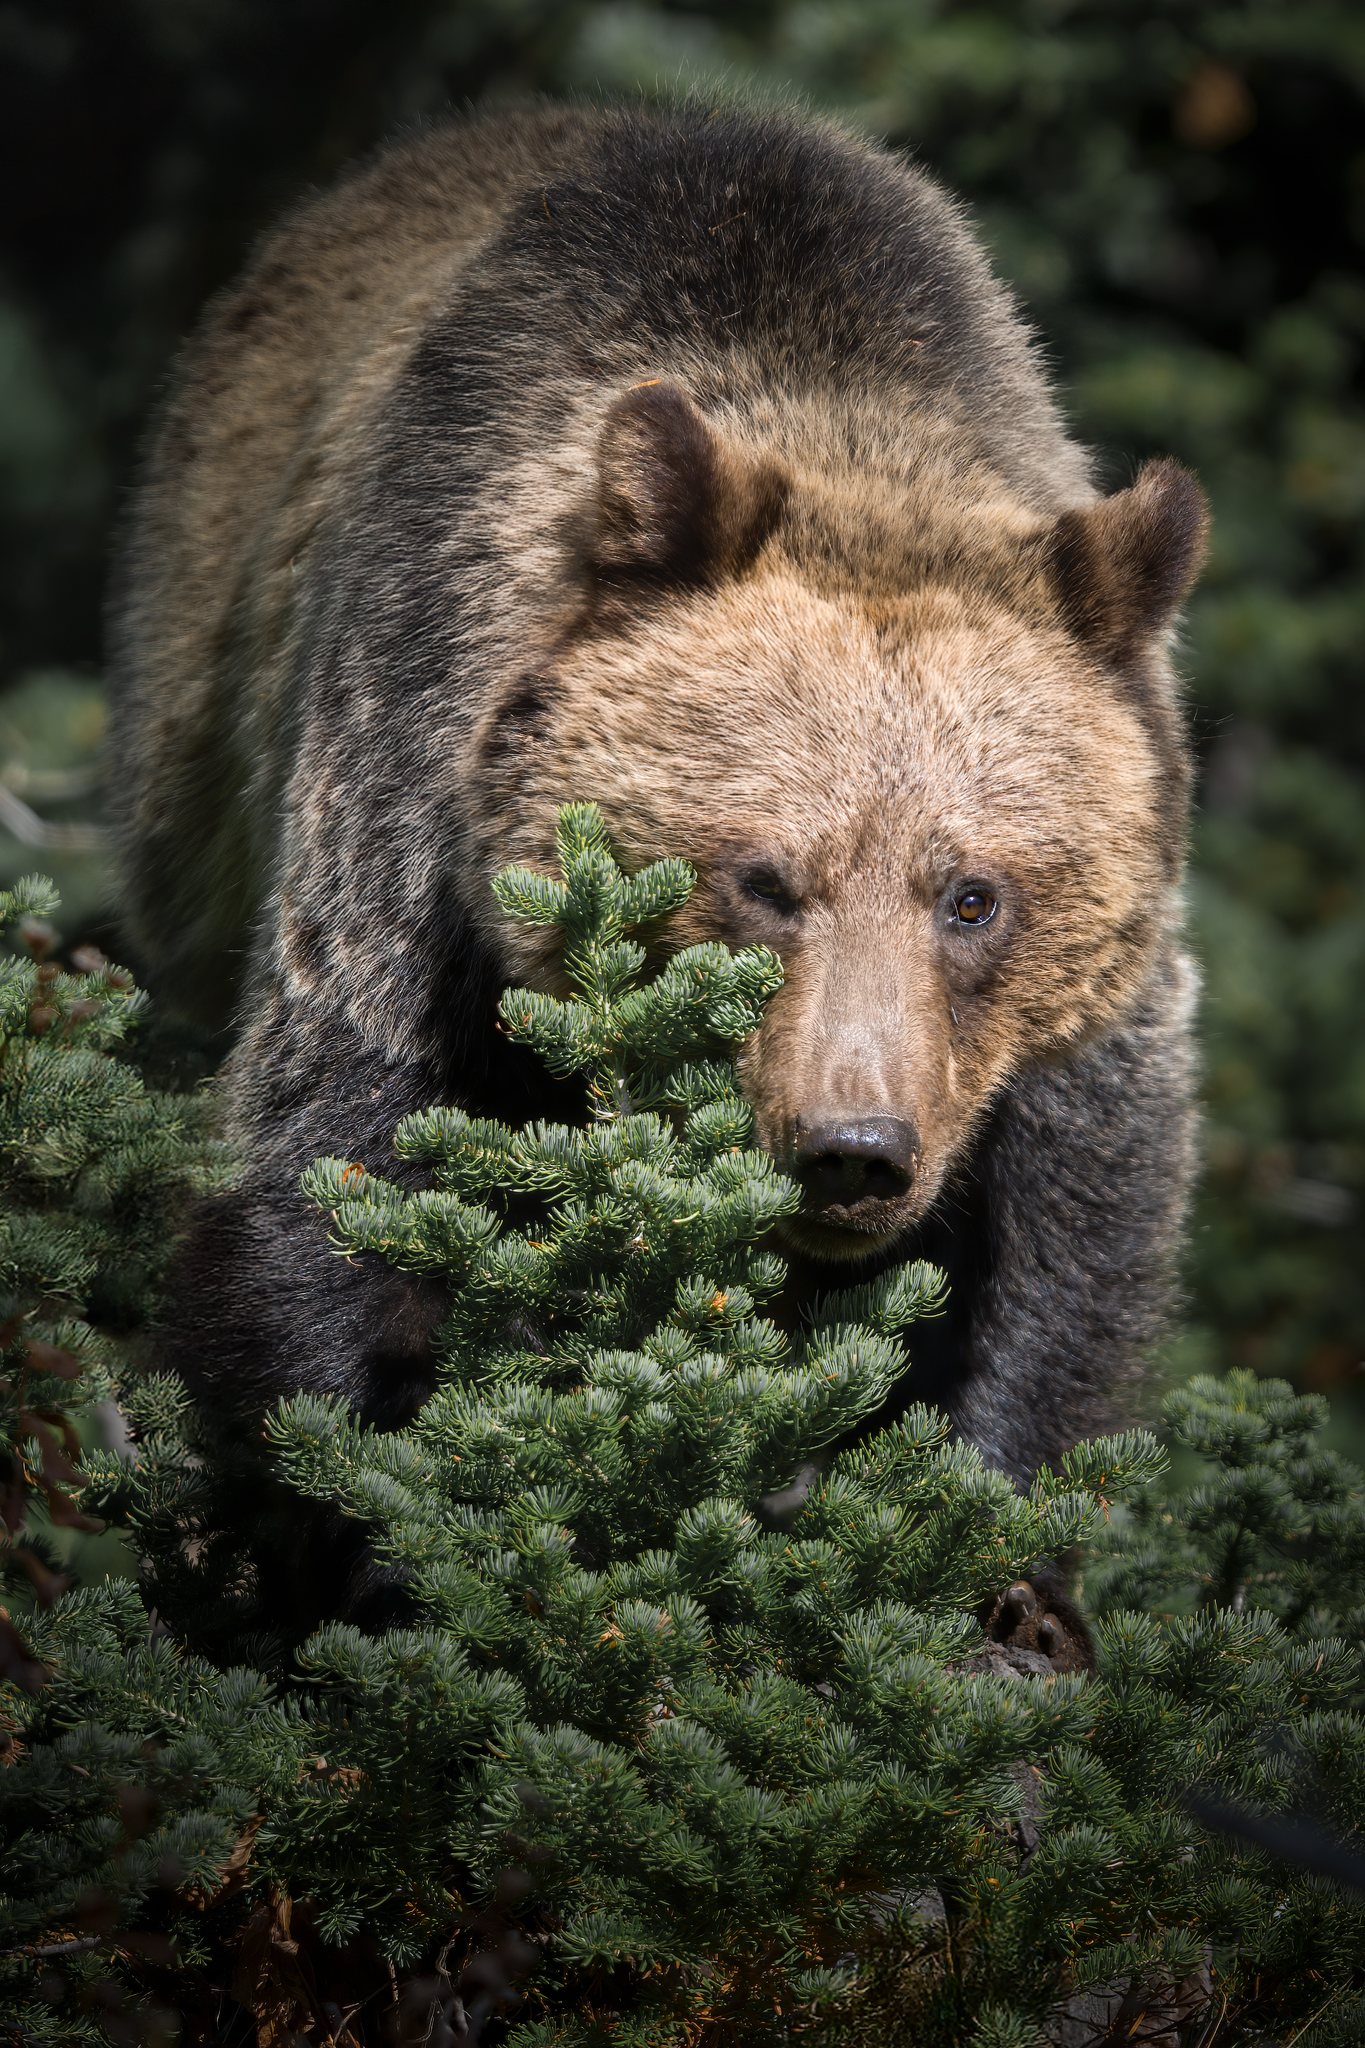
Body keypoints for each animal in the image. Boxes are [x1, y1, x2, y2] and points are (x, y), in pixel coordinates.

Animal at [107, 100, 1206, 1625]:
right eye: (765, 878)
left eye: (973, 895)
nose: (853, 1150)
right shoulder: (404, 768)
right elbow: (337, 1153)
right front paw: (355, 1539)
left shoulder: (1087, 1006)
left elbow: (1072, 1237)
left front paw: (1000, 1578)